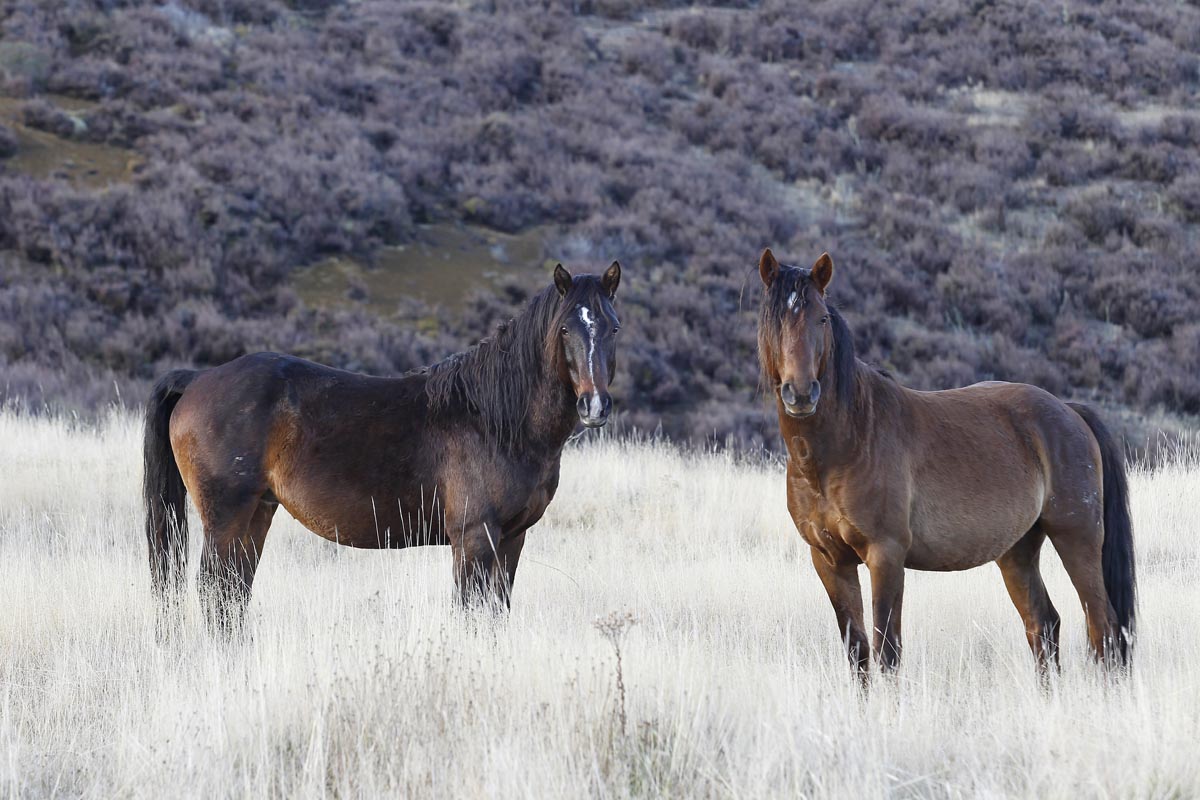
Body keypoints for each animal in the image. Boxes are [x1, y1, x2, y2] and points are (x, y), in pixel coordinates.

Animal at [145, 262, 624, 623]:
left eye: (614, 328)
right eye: (565, 330)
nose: (594, 406)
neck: (493, 418)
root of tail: (196, 379)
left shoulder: (512, 538)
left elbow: (496, 612)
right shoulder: (474, 537)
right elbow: (471, 613)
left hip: (258, 512)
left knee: (233, 593)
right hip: (225, 517)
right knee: (214, 590)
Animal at [758, 250, 1132, 676]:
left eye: (821, 318)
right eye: (773, 319)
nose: (801, 393)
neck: (845, 443)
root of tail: (1068, 410)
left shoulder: (886, 555)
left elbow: (888, 651)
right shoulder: (830, 562)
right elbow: (858, 652)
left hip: (1077, 539)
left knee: (1103, 628)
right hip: (1017, 552)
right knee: (1043, 624)